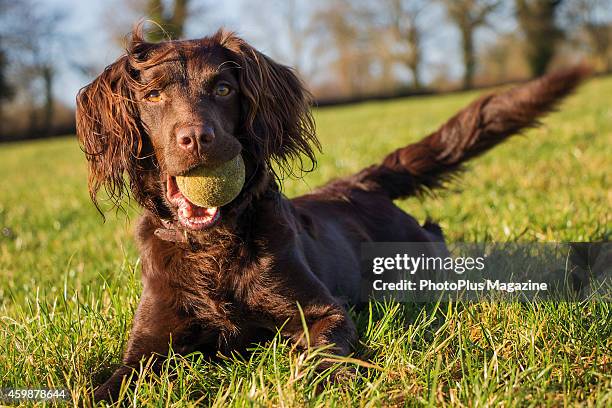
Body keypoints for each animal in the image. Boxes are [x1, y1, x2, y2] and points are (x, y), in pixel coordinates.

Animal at [74, 28, 584, 402]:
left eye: (222, 88)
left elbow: (326, 355)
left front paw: (334, 387)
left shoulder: (322, 312)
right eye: (153, 96)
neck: (212, 246)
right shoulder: (148, 346)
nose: (197, 138)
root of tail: (359, 182)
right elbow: (109, 385)